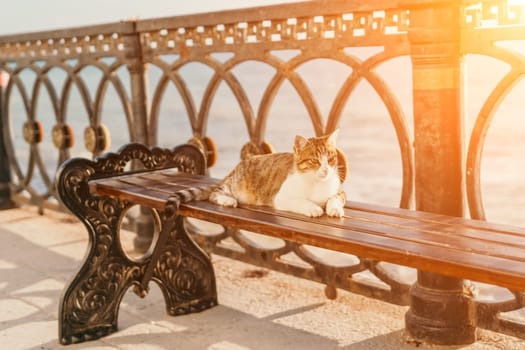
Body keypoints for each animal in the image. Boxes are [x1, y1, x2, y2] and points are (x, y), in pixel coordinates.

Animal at [169, 129, 348, 217]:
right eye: (314, 161)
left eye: (330, 159)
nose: (325, 170)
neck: (316, 183)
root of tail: (237, 168)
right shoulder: (280, 198)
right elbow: (301, 201)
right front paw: (313, 208)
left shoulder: (340, 192)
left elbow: (335, 198)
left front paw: (334, 209)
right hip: (236, 185)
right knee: (215, 193)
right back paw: (227, 200)